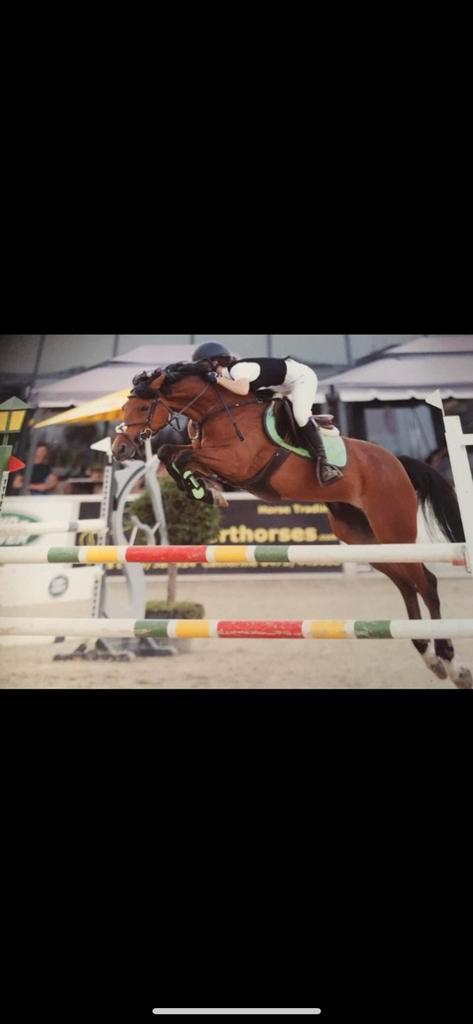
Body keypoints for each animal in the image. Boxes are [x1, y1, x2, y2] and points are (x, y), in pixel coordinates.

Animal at [111, 361, 472, 688]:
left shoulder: (237, 463)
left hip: (393, 528)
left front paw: (204, 490)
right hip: (363, 538)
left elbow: (180, 455)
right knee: (406, 584)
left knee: (426, 583)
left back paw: (451, 663)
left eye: (142, 406)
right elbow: (171, 452)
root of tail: (396, 461)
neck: (217, 411)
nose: (119, 449)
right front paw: (204, 490)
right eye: (125, 407)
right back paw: (429, 656)